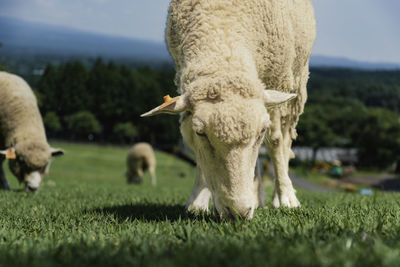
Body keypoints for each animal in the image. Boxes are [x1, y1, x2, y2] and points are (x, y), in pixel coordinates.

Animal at [141, 0, 316, 220]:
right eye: (200, 132)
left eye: (262, 131)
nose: (238, 212)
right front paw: (197, 201)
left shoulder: (276, 78)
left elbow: (275, 141)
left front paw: (286, 198)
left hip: (296, 81)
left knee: (284, 141)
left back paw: (281, 194)